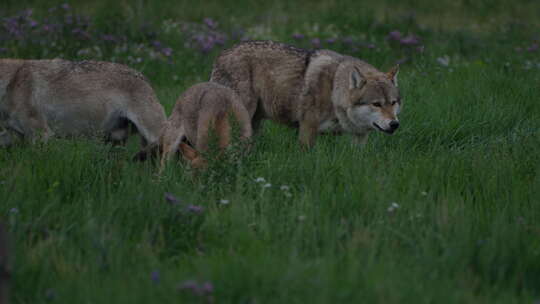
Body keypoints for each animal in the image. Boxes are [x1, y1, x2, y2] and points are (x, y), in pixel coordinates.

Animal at [211, 40, 400, 147]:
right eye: (376, 104)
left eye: (393, 102)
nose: (394, 124)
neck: (334, 90)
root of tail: (222, 54)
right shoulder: (307, 128)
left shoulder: (359, 137)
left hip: (254, 123)